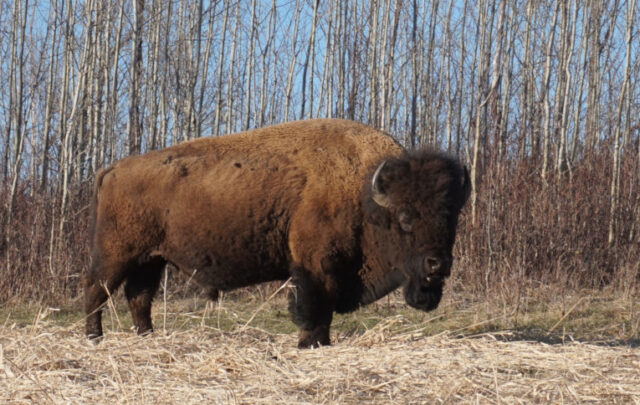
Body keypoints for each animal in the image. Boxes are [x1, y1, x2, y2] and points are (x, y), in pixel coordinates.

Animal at [84, 119, 470, 348]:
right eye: (406, 217)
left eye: (450, 217)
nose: (438, 264)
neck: (364, 194)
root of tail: (113, 168)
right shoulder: (316, 267)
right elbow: (315, 308)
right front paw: (311, 343)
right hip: (117, 255)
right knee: (97, 290)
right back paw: (94, 338)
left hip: (151, 259)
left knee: (139, 297)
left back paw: (146, 337)